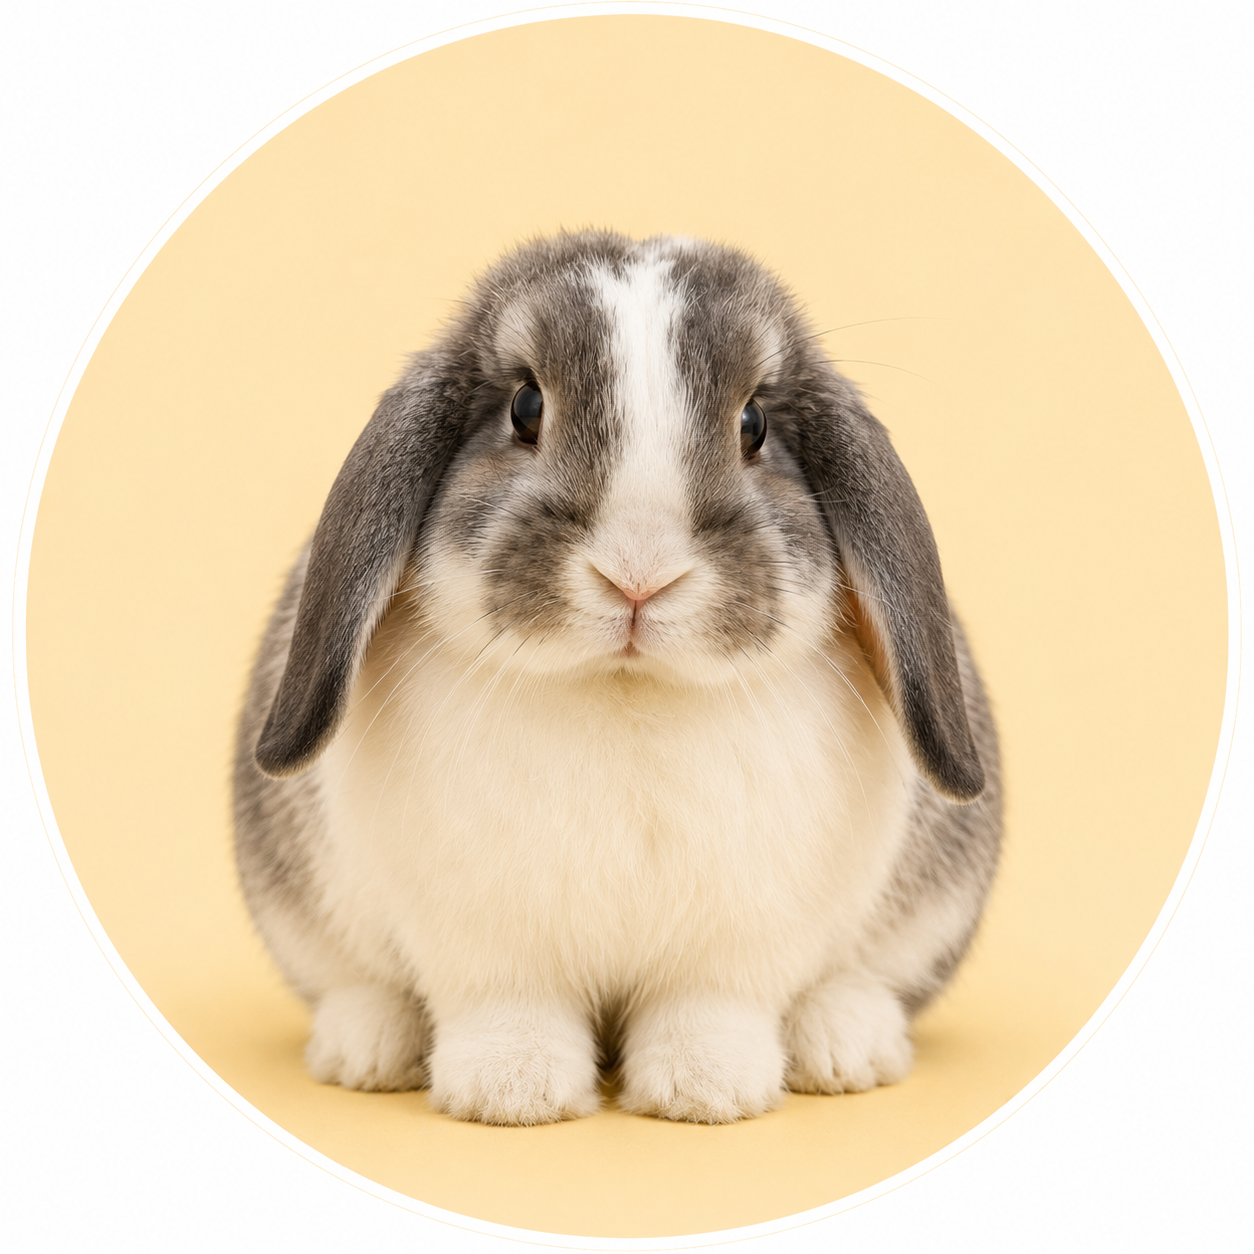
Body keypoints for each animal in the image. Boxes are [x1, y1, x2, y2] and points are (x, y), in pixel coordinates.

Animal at [234, 231, 1001, 1127]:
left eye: (754, 424)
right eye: (526, 408)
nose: (639, 574)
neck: (625, 691)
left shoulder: (737, 941)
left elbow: (710, 1006)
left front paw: (705, 1087)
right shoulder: (486, 940)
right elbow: (510, 1003)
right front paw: (513, 1087)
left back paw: (846, 1046)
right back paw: (366, 1047)